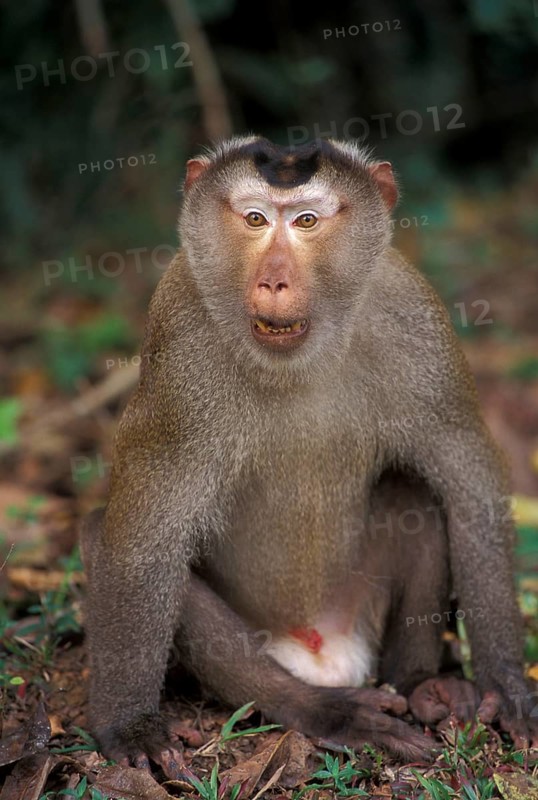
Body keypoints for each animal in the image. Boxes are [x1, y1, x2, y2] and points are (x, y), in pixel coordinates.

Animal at [80, 136, 537, 777]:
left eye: (305, 221)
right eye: (254, 219)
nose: (274, 281)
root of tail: (322, 651)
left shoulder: (413, 317)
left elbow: (466, 476)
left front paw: (507, 681)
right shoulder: (180, 340)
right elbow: (143, 539)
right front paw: (130, 724)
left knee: (414, 492)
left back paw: (423, 686)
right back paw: (321, 709)